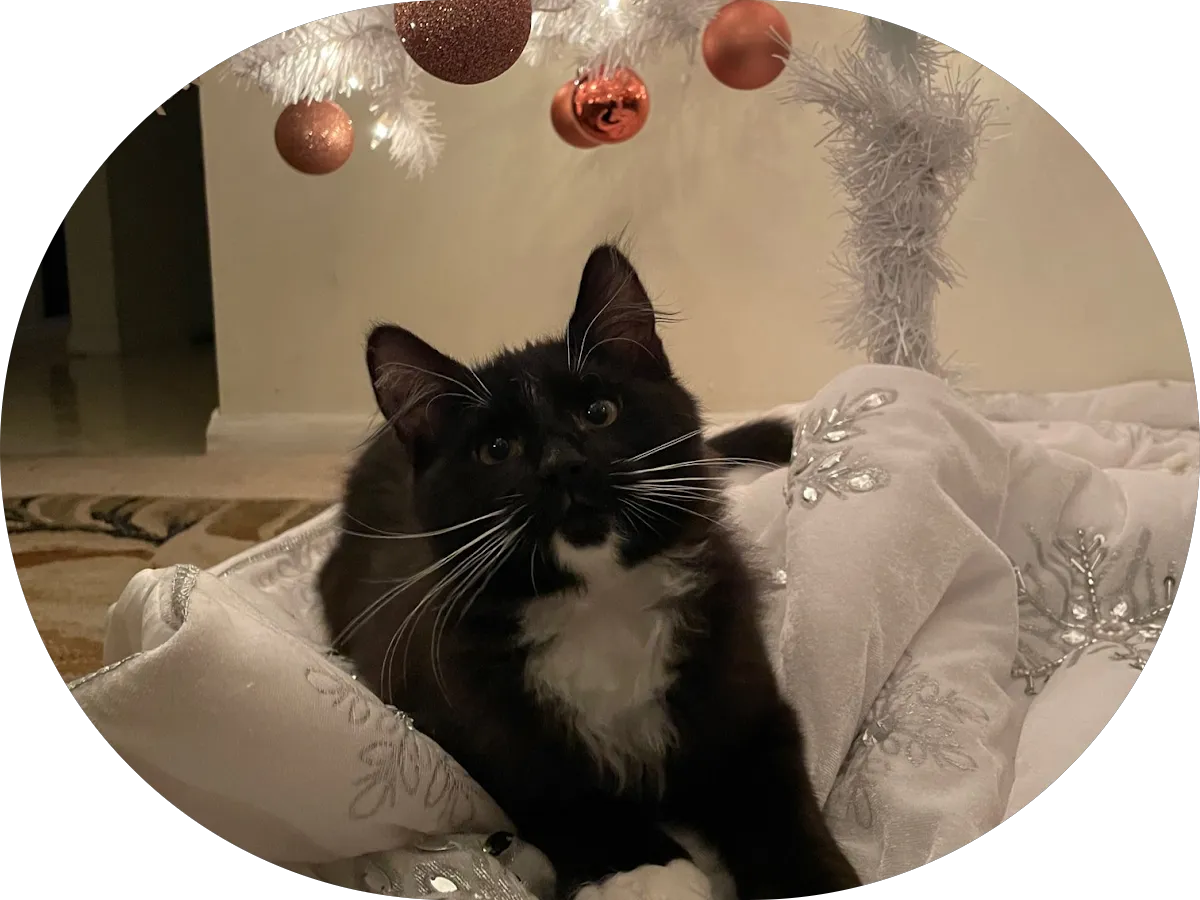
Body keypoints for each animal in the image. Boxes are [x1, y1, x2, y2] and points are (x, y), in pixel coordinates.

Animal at [318, 243, 860, 900]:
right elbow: (566, 799)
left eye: (599, 412)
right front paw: (649, 873)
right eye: (496, 450)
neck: (601, 602)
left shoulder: (743, 691)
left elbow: (776, 806)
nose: (562, 463)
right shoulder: (467, 724)